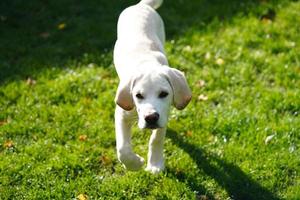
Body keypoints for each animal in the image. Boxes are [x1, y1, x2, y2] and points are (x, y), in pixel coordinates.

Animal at [113, 0, 191, 173]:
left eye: (163, 94)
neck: (147, 63)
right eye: (138, 96)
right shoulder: (122, 114)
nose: (150, 118)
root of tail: (141, 5)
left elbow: (156, 139)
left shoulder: (164, 113)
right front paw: (135, 164)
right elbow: (122, 149)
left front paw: (155, 164)